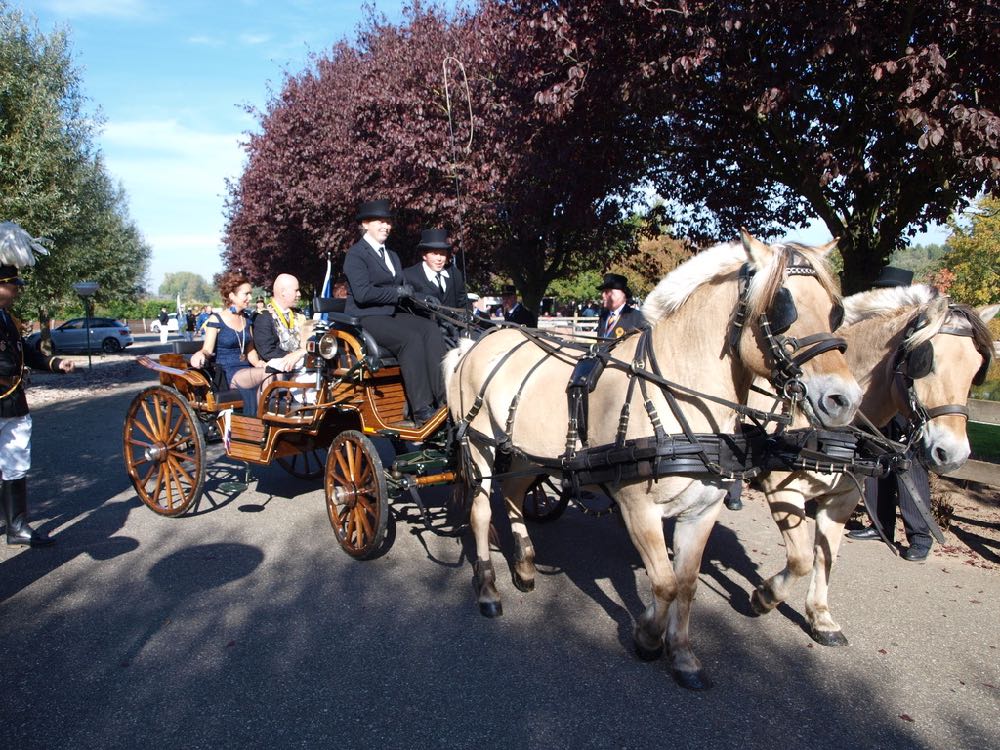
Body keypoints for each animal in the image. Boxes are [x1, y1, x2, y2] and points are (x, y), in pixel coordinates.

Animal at [442, 232, 864, 692]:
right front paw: (647, 635)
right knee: (482, 511)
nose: (844, 400)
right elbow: (663, 583)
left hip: (530, 453)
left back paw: (524, 565)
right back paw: (488, 589)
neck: (681, 392)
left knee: (516, 493)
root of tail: (474, 343)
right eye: (783, 309)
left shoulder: (703, 510)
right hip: (480, 446)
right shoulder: (637, 507)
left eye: (835, 310)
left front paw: (682, 655)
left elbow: (686, 584)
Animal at [752, 284, 992, 648]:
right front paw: (765, 596)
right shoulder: (782, 487)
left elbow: (825, 556)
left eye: (976, 368)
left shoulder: (844, 497)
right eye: (927, 361)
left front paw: (821, 618)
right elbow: (801, 558)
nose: (953, 454)